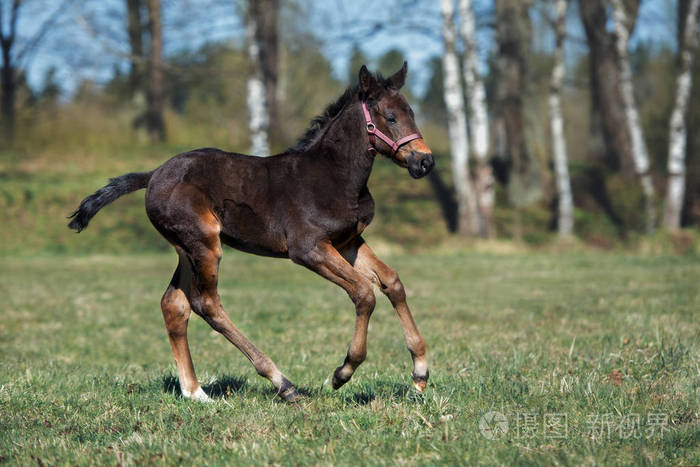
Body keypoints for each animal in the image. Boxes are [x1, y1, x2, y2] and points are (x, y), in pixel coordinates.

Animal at [68, 64, 434, 404]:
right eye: (390, 116)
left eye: (413, 113)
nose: (425, 162)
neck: (333, 176)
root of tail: (153, 174)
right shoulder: (308, 249)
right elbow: (363, 292)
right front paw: (342, 372)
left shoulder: (347, 242)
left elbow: (391, 282)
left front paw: (420, 372)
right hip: (204, 243)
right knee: (207, 304)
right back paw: (282, 383)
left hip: (185, 249)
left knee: (175, 304)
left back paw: (195, 391)